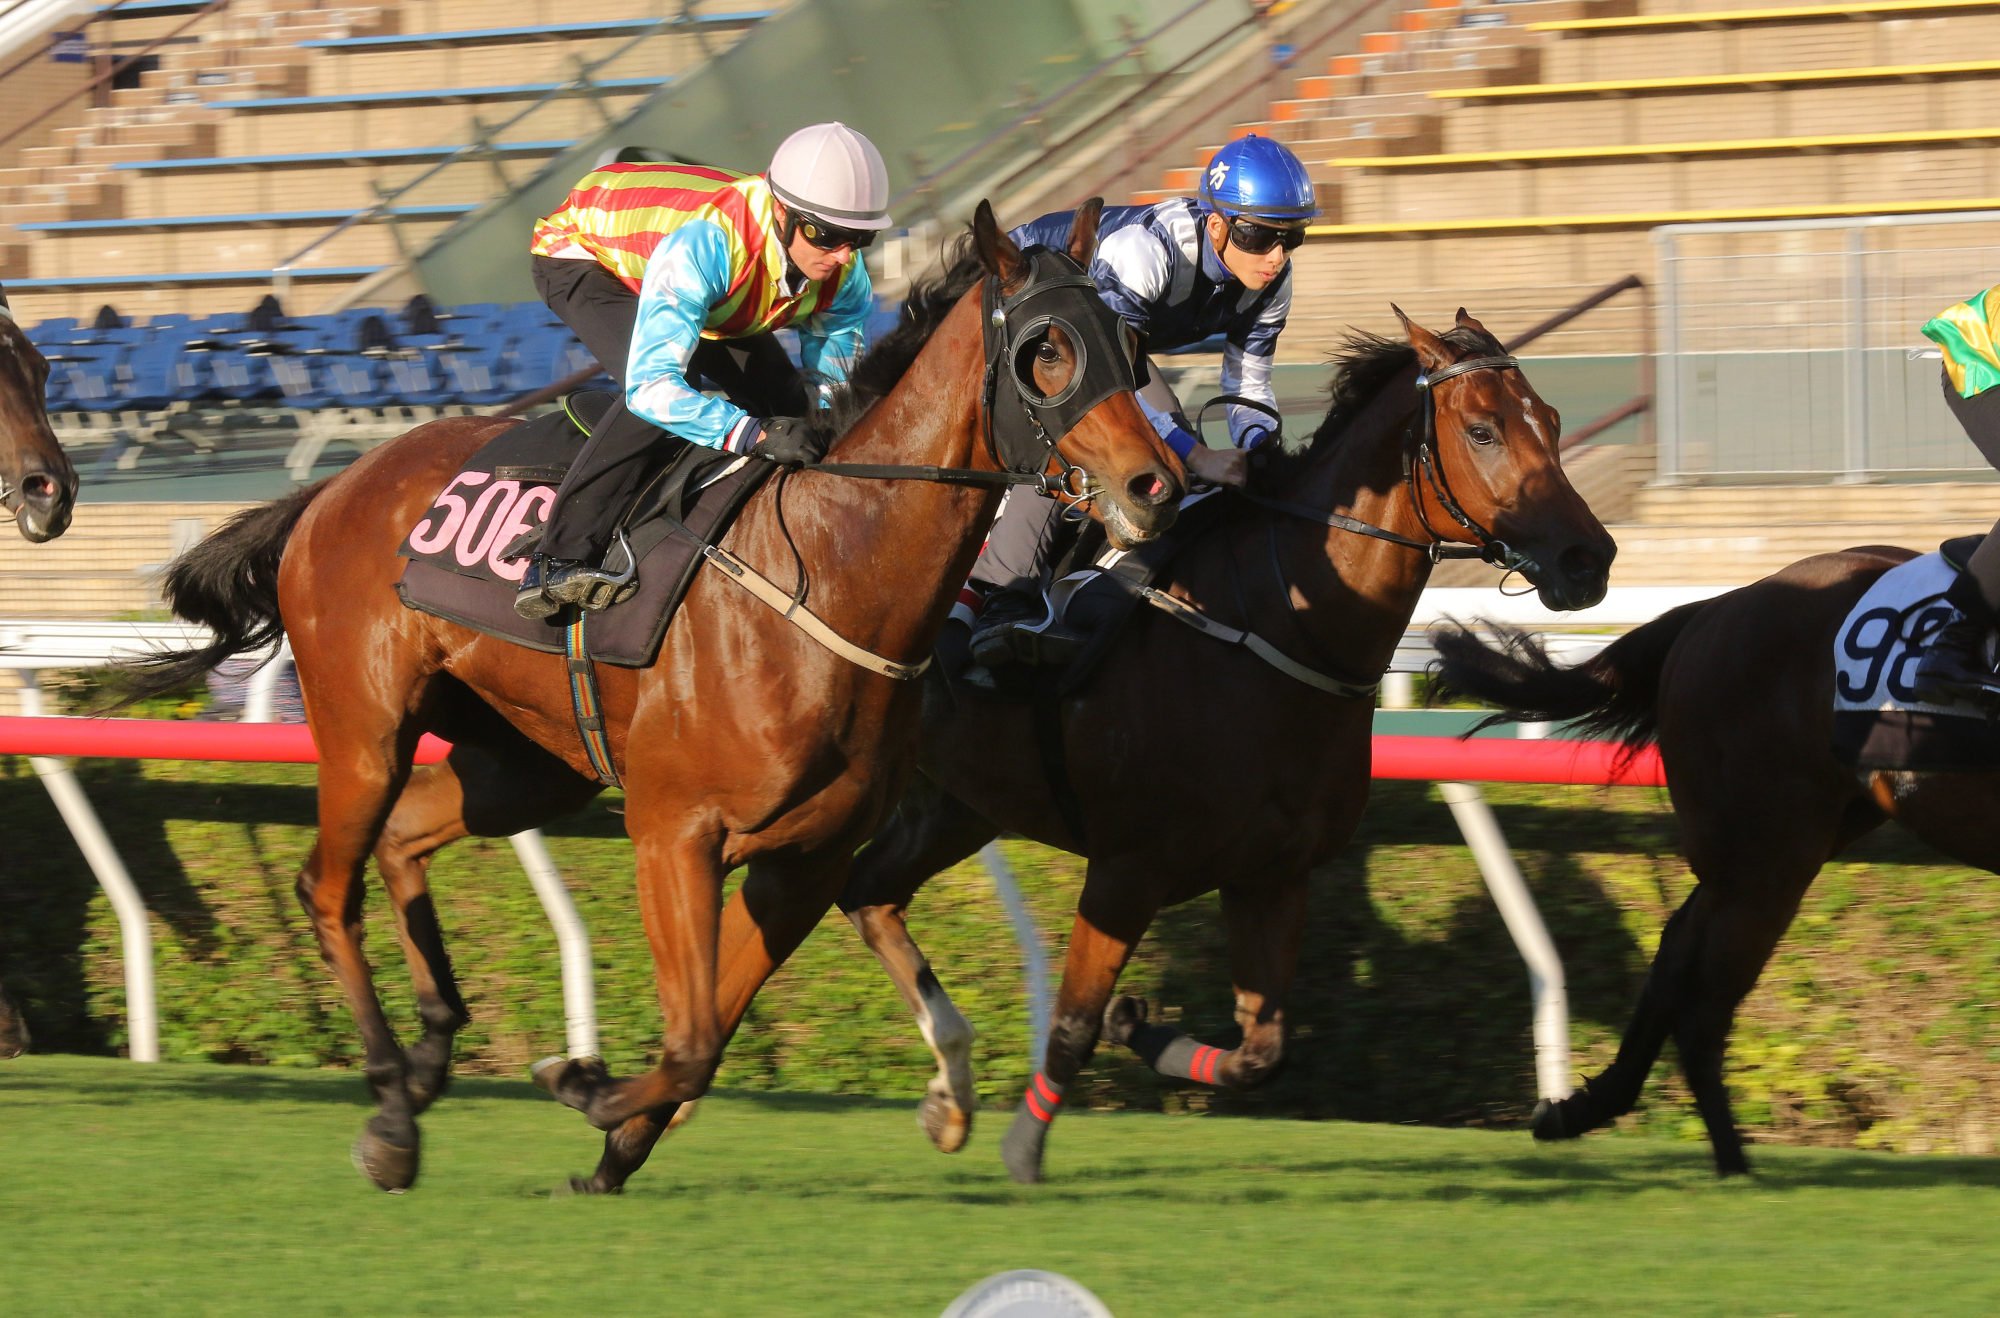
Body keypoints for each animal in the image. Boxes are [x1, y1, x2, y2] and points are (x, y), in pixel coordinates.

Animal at [129, 204, 1184, 1200]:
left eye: (1129, 341)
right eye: (1046, 349)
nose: (1156, 485)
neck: (830, 576)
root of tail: (331, 488)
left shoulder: (804, 860)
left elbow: (707, 1041)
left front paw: (609, 1148)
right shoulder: (676, 833)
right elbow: (689, 1042)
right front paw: (581, 1085)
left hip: (524, 765)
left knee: (402, 841)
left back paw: (428, 1062)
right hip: (367, 733)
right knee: (327, 887)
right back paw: (391, 1103)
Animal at [832, 310, 1624, 1184]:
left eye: (1550, 420)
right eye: (1483, 429)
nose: (1589, 559)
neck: (1276, 622)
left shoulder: (1271, 875)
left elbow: (1261, 1053)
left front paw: (1139, 1026)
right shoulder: (1128, 868)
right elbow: (1072, 1022)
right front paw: (1025, 1151)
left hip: (957, 804)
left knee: (866, 892)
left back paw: (948, 1095)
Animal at [1432, 544, 1992, 1176]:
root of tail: (1713, 607)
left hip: (1774, 843)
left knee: (1676, 951)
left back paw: (1584, 1109)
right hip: (1767, 855)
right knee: (1703, 1004)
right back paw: (1732, 1162)